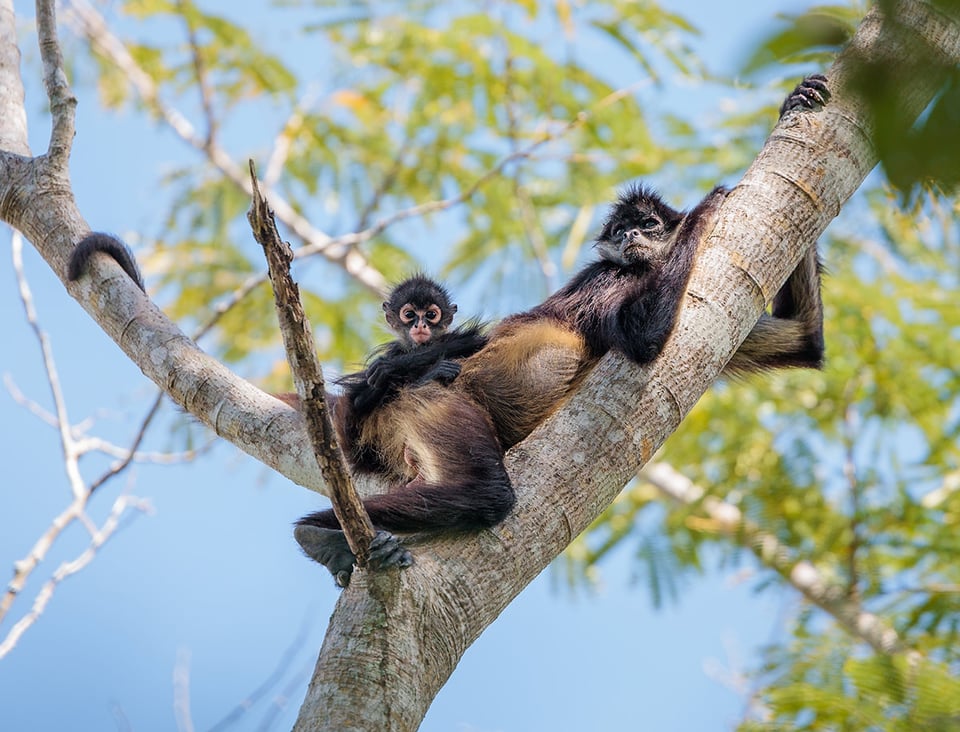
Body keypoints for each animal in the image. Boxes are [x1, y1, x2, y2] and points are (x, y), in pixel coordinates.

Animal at [296, 74, 828, 588]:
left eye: (647, 224)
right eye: (620, 233)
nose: (632, 237)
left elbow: (806, 339)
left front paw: (793, 102)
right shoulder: (609, 278)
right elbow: (641, 337)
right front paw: (710, 202)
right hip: (433, 399)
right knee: (486, 492)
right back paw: (316, 533)